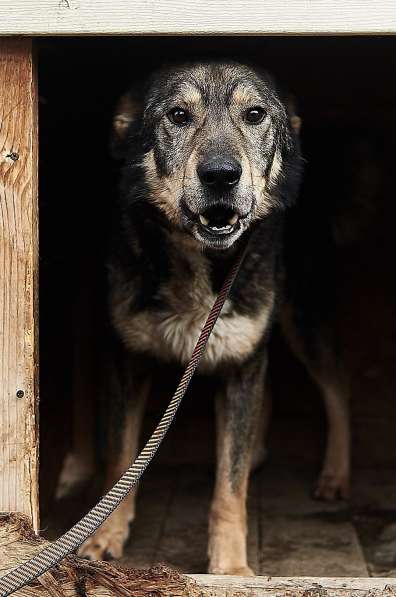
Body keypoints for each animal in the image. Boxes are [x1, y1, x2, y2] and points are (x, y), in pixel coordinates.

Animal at [58, 62, 350, 576]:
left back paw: (335, 472)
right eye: (178, 115)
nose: (220, 176)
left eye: (254, 114)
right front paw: (105, 538)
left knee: (337, 390)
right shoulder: (125, 363)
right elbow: (120, 463)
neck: (201, 259)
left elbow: (230, 488)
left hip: (302, 322)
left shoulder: (241, 362)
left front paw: (230, 568)